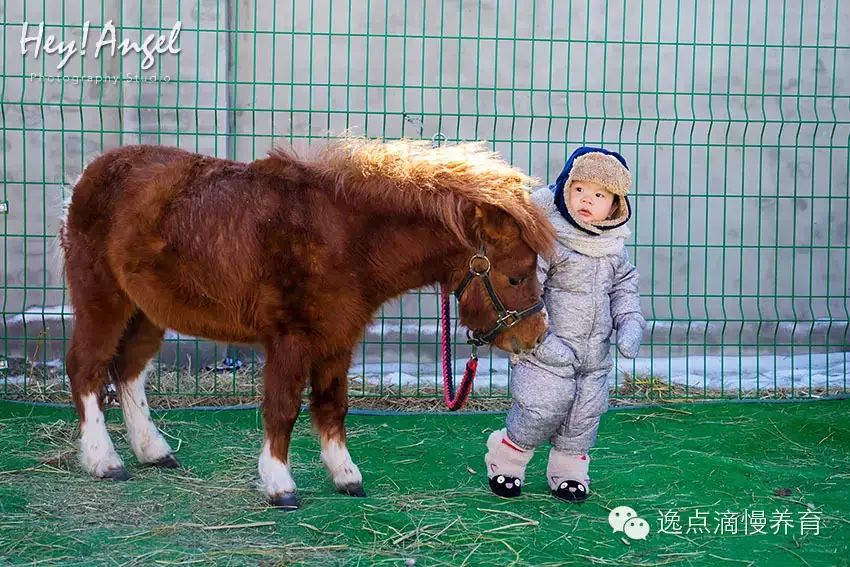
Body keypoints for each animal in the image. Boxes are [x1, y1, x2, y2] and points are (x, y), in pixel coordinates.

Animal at [56, 139, 552, 510]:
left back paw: (153, 452)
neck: (347, 237)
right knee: (87, 369)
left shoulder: (339, 339)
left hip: (148, 311)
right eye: (516, 276)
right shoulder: (290, 339)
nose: (537, 335)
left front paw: (346, 477)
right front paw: (280, 486)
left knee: (128, 371)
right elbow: (283, 408)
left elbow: (332, 407)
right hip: (103, 300)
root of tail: (86, 177)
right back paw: (104, 461)